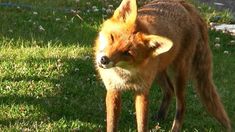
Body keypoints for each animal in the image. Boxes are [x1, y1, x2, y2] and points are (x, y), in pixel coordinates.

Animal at [93, 0, 231, 131]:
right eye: (112, 37)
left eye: (127, 53)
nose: (104, 60)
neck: (125, 72)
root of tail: (182, 3)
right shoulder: (113, 89)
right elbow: (111, 124)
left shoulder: (142, 92)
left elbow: (142, 125)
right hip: (159, 73)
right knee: (169, 90)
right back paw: (160, 116)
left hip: (178, 74)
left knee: (182, 104)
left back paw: (174, 128)